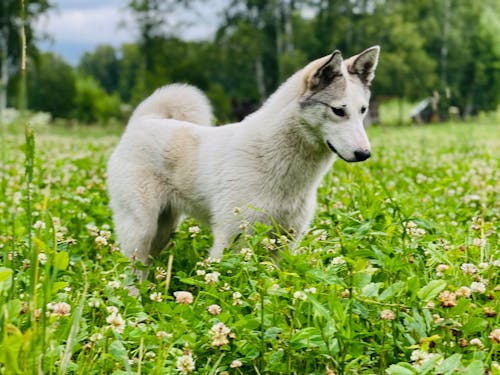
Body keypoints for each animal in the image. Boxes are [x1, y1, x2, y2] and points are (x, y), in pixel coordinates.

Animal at [106, 46, 378, 274]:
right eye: (338, 111)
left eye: (363, 110)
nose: (365, 154)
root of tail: (143, 120)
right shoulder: (232, 237)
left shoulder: (284, 242)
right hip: (140, 229)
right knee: (131, 271)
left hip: (164, 228)